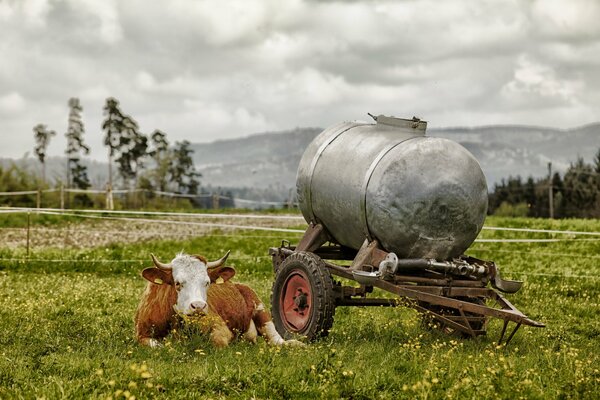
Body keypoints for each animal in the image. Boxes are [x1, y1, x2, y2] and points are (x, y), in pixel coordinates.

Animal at [134, 250, 298, 346]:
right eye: (177, 283)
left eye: (207, 282)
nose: (198, 306)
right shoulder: (141, 334)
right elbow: (156, 345)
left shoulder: (220, 327)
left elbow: (218, 340)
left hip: (261, 311)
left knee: (276, 339)